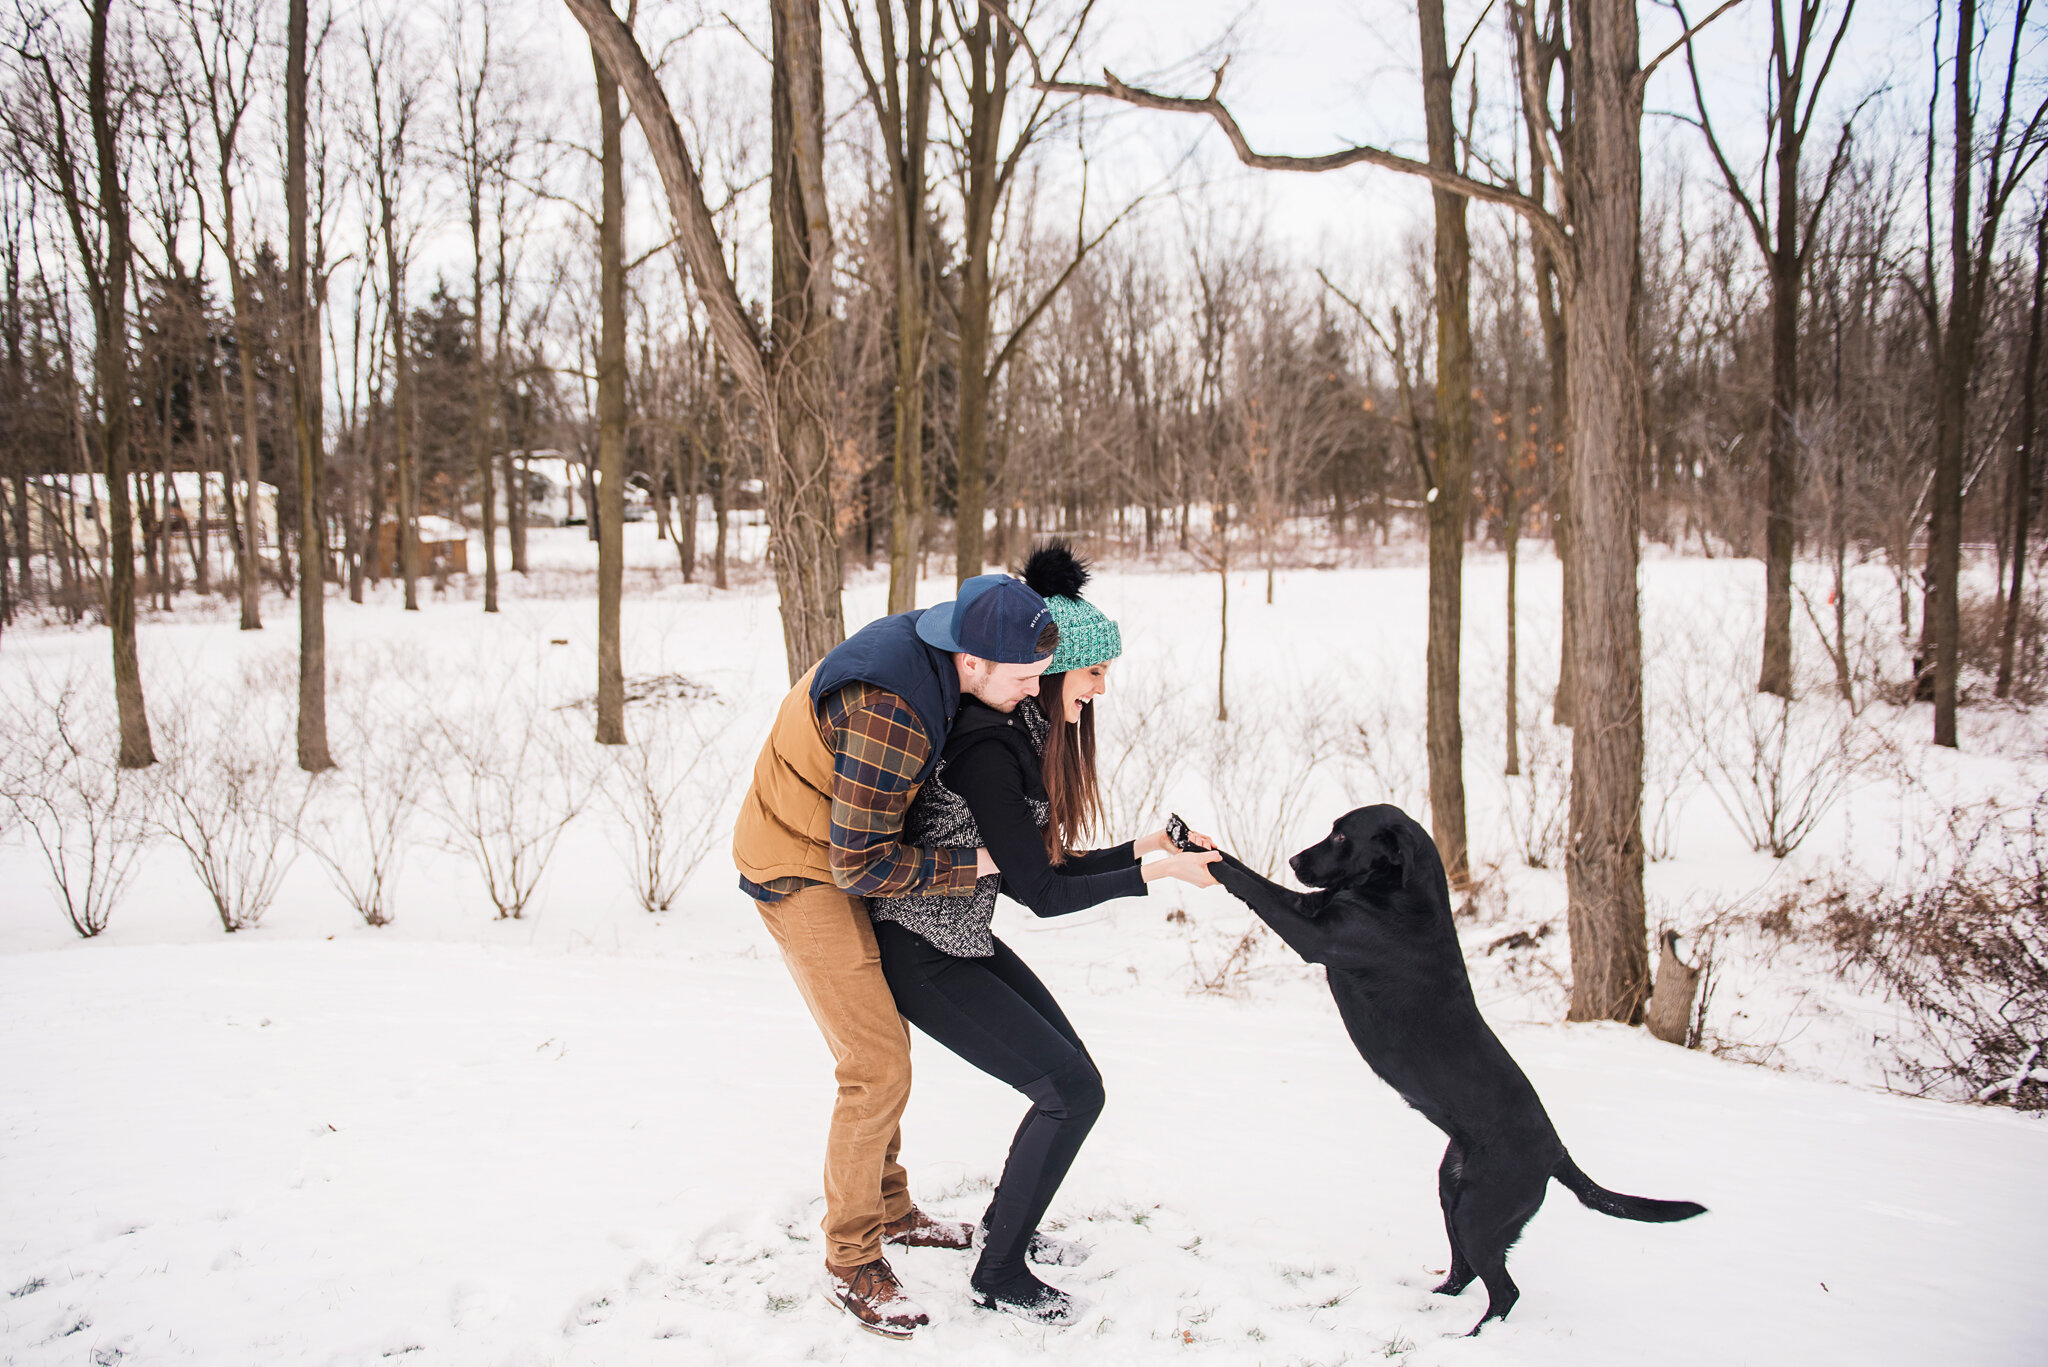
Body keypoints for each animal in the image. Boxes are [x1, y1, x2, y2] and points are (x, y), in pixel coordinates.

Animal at [1204, 807, 1703, 1328]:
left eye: (1341, 836)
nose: (1295, 860)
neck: (1402, 897)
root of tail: (1557, 1153)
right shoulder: (1311, 906)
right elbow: (1252, 875)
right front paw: (1201, 843)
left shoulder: (1317, 935)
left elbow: (1254, 887)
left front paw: (1204, 861)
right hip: (1452, 1194)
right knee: (1465, 1272)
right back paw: (1434, 1303)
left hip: (1478, 1214)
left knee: (1504, 1291)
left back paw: (1469, 1337)